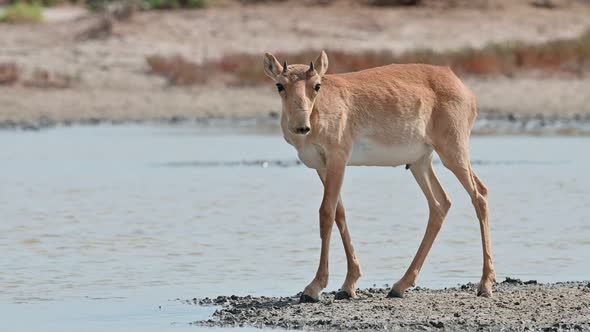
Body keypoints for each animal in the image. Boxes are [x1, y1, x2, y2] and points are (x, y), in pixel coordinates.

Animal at [266, 50, 498, 302]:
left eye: (317, 85)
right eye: (279, 85)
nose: (301, 127)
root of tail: (460, 84)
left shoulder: (338, 160)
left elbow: (326, 213)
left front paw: (314, 288)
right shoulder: (322, 167)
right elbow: (339, 213)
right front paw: (349, 284)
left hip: (453, 153)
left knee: (480, 195)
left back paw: (485, 284)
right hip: (420, 162)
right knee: (440, 203)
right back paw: (400, 285)